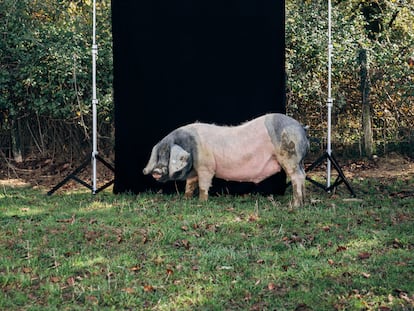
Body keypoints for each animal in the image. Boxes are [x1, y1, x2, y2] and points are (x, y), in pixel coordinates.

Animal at [142, 114, 308, 207]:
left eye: (168, 154)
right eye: (158, 155)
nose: (156, 171)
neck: (190, 145)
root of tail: (301, 127)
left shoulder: (206, 167)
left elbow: (203, 185)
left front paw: (201, 202)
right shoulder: (194, 171)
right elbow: (190, 184)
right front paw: (186, 199)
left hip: (289, 157)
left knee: (297, 177)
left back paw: (294, 205)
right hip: (298, 161)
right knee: (303, 175)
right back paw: (303, 202)